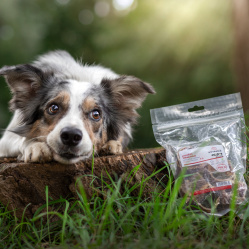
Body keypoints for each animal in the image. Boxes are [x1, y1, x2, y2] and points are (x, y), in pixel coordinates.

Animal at [0, 50, 156, 163]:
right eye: (53, 108)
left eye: (96, 114)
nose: (70, 136)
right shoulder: (5, 140)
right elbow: (22, 138)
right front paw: (35, 146)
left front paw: (112, 145)